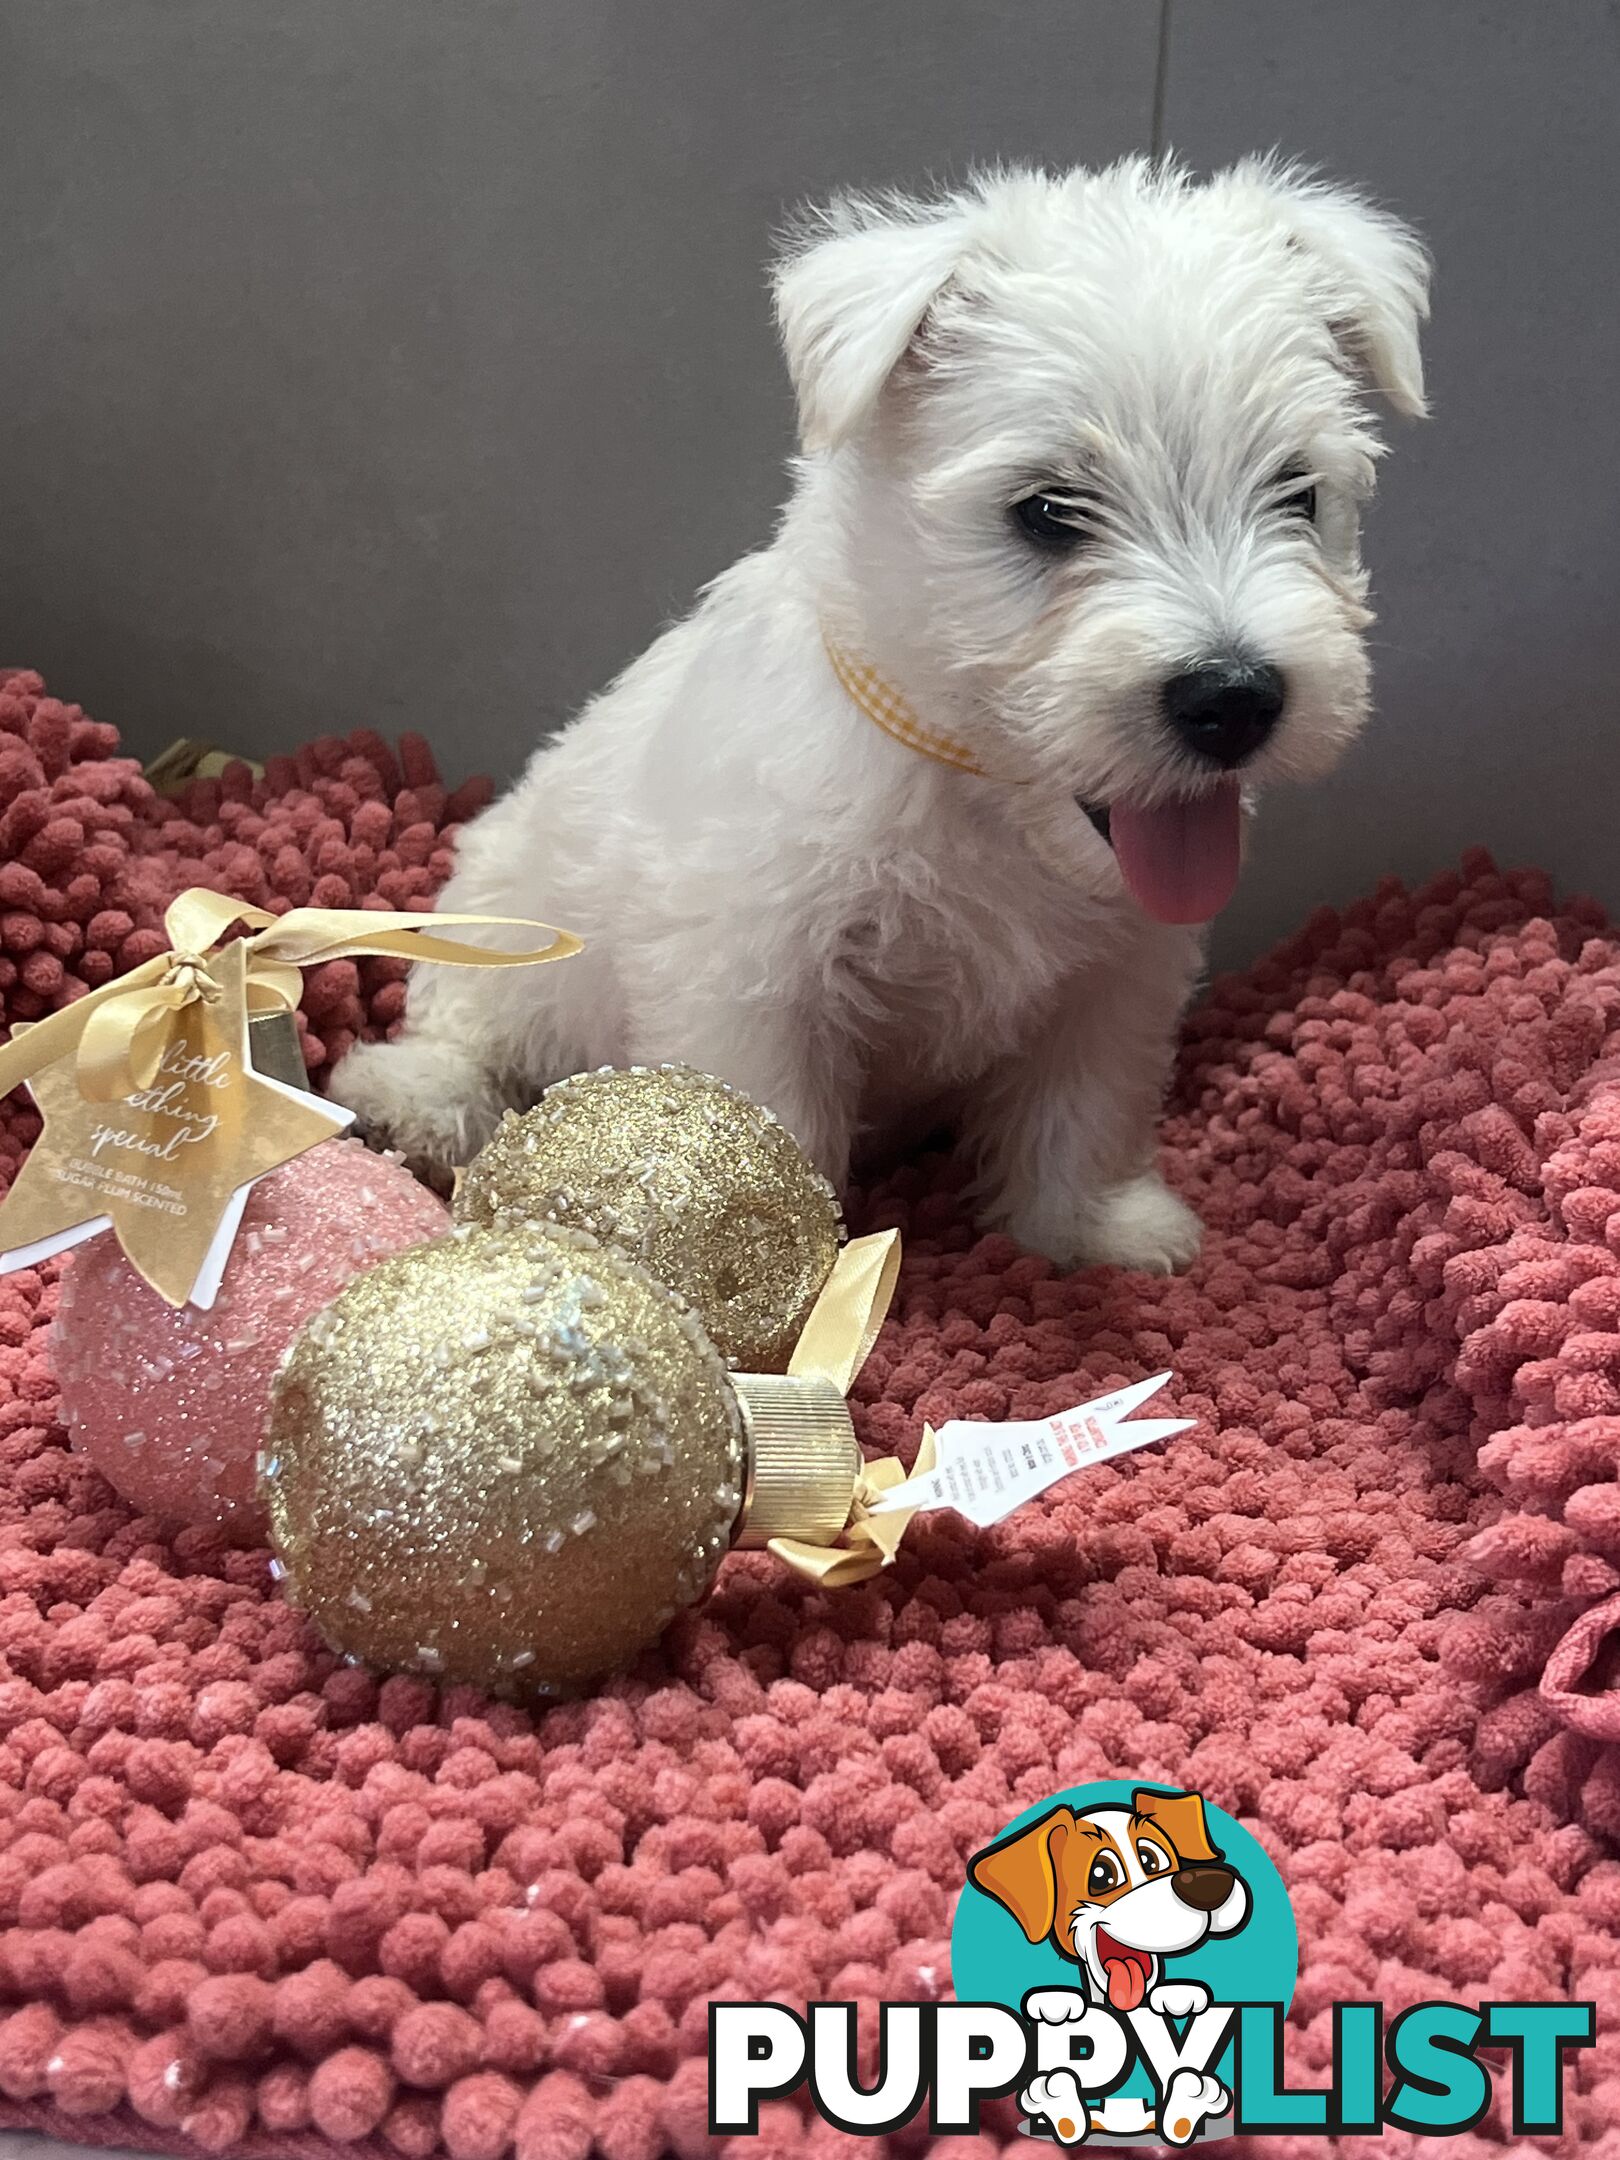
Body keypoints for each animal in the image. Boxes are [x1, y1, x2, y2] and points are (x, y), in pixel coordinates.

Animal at [336, 159, 1425, 1270]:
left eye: (1299, 492)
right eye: (1047, 512)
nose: (1234, 697)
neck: (977, 794)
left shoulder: (1120, 974)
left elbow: (1085, 1105)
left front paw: (1094, 1233)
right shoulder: (756, 981)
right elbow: (772, 1131)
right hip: (505, 919)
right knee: (463, 1028)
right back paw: (409, 1101)